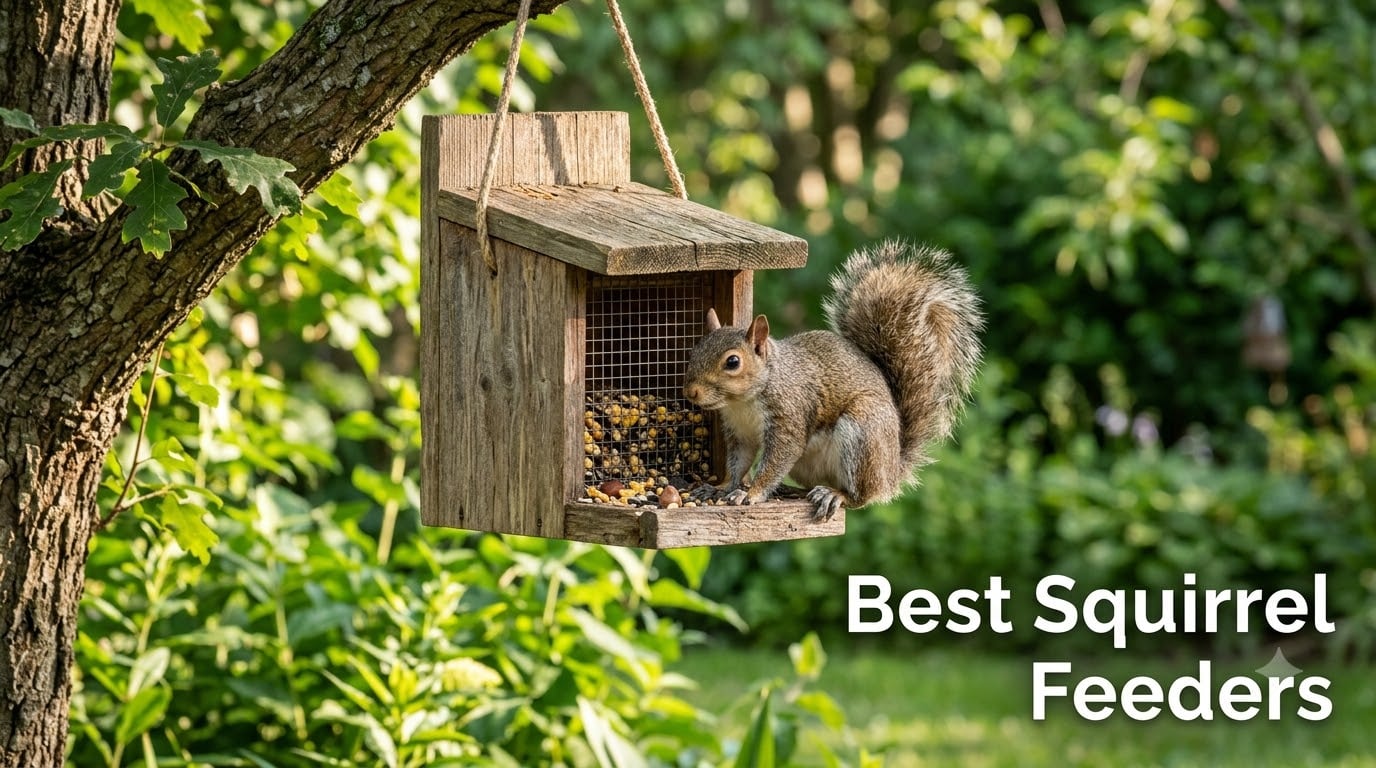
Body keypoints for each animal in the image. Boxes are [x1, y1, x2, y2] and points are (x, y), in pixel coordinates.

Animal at [681, 240, 984, 520]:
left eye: (733, 362)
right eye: (694, 349)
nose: (691, 392)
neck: (743, 401)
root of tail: (892, 471)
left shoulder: (789, 417)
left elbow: (776, 461)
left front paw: (751, 493)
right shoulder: (740, 433)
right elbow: (739, 463)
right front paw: (722, 488)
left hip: (863, 432)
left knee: (862, 496)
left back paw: (836, 495)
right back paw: (794, 491)